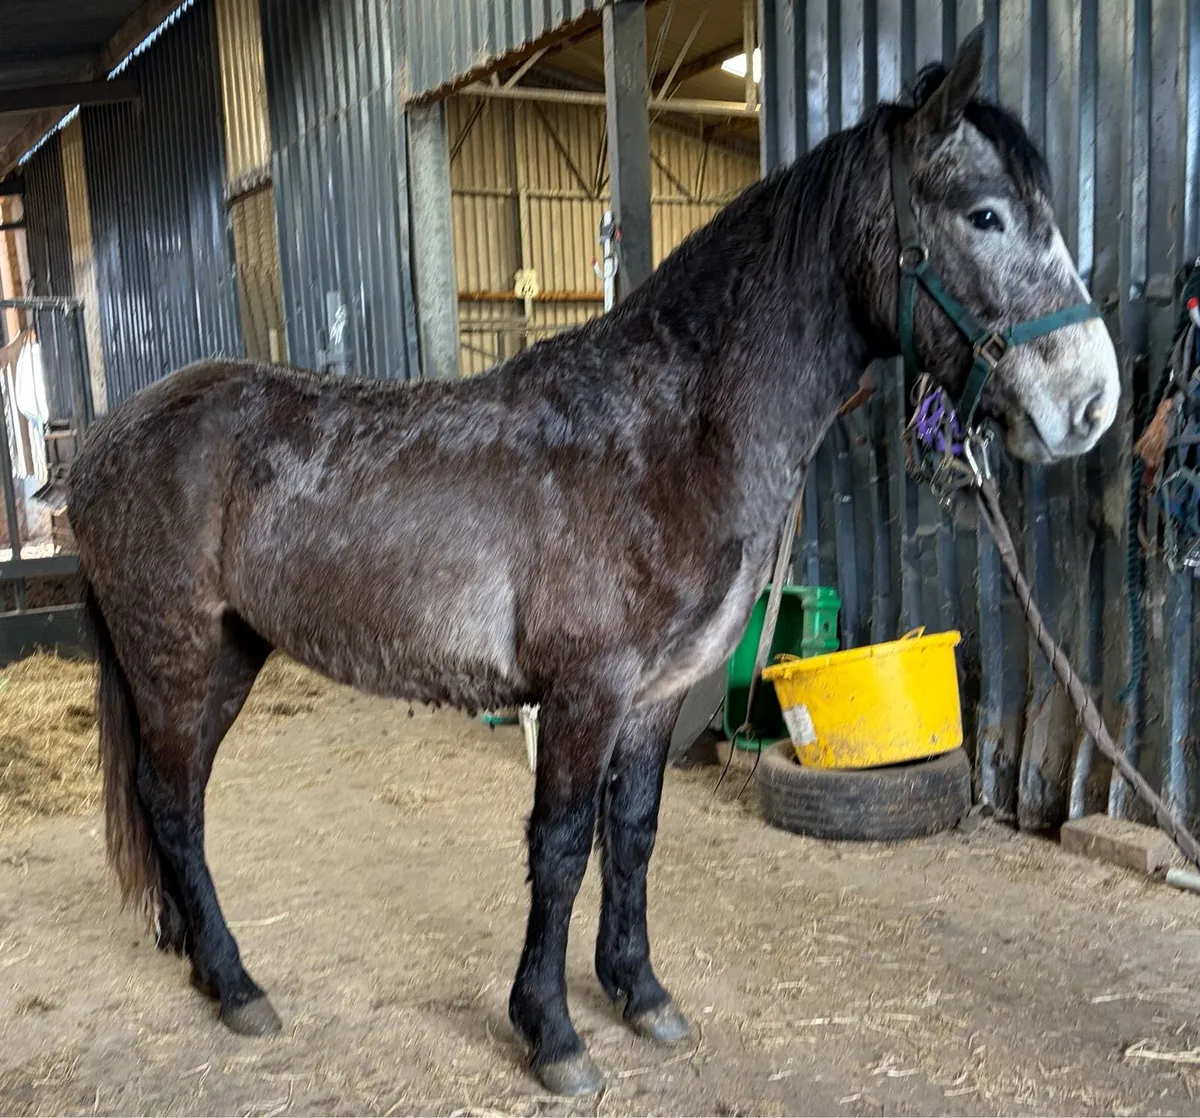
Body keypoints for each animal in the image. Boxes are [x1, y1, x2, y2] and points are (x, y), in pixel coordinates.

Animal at [68, 28, 1119, 1097]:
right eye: (985, 213)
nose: (1091, 403)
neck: (666, 432)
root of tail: (109, 437)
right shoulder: (582, 692)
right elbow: (564, 847)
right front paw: (553, 1034)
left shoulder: (657, 695)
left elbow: (637, 834)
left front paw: (640, 993)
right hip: (174, 654)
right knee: (173, 804)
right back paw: (238, 985)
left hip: (231, 654)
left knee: (176, 794)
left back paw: (202, 963)